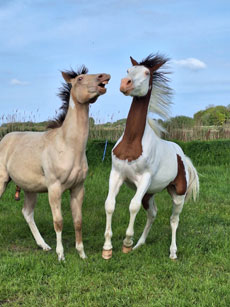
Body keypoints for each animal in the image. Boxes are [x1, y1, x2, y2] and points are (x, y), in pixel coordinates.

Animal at [0, 66, 110, 262]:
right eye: (80, 78)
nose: (104, 77)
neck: (67, 146)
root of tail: (5, 138)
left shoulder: (78, 189)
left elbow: (78, 221)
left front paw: (82, 254)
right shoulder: (55, 188)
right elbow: (58, 221)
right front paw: (61, 255)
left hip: (30, 189)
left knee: (27, 213)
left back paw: (43, 245)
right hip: (2, 181)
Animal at [101, 54, 199, 260]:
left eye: (147, 72)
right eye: (129, 70)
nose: (125, 84)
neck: (132, 143)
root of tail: (182, 156)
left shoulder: (144, 179)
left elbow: (133, 206)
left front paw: (126, 244)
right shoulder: (116, 175)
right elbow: (110, 205)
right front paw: (107, 248)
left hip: (177, 194)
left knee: (174, 219)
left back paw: (172, 252)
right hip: (150, 193)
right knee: (152, 214)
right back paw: (140, 243)